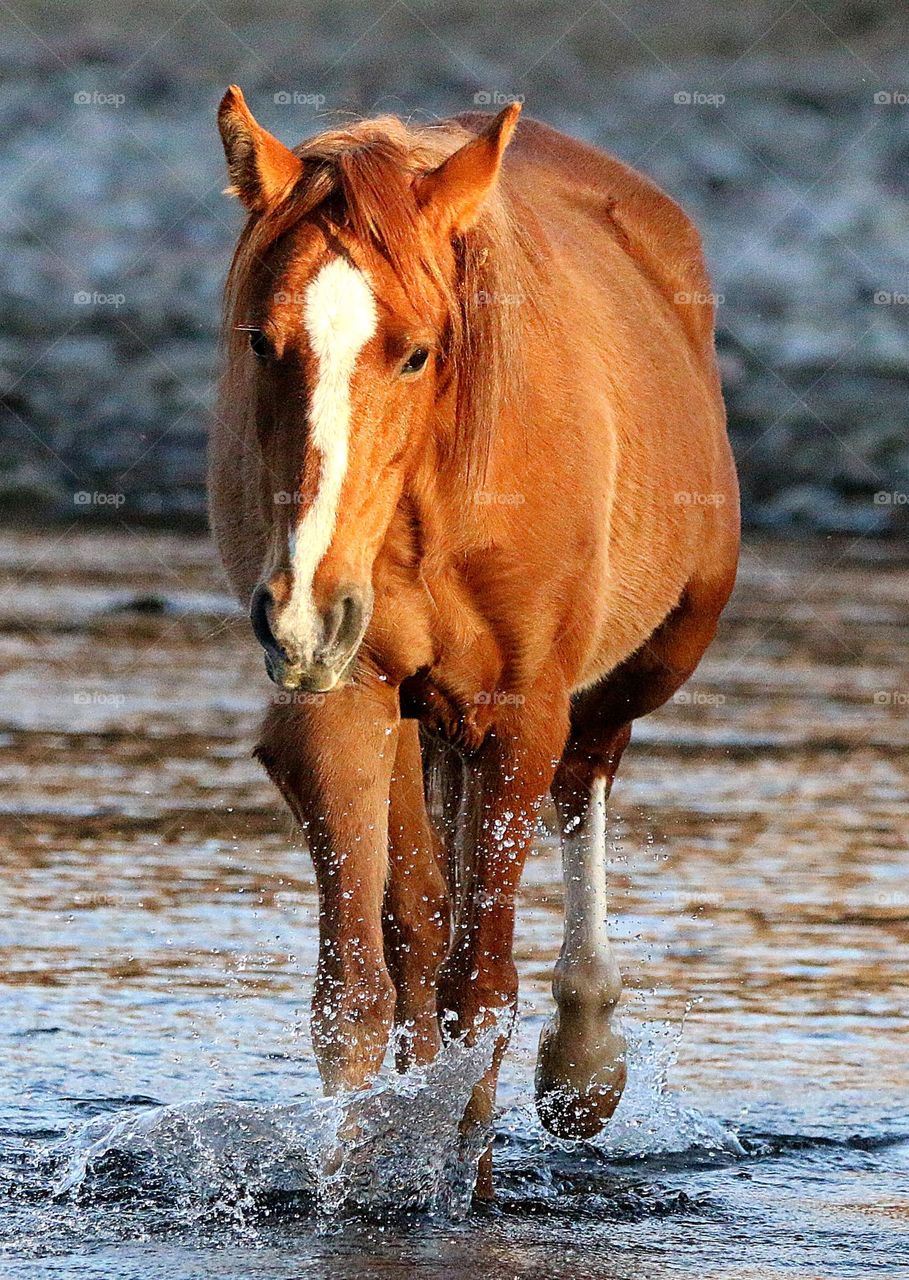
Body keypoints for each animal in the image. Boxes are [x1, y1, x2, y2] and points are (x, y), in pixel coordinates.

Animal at [210, 86, 739, 1198]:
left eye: (415, 351)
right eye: (261, 343)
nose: (302, 609)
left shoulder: (515, 717)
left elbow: (481, 989)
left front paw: (471, 1183)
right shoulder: (340, 704)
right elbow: (360, 990)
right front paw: (364, 1180)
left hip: (642, 665)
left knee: (587, 780)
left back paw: (583, 1058)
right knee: (417, 925)